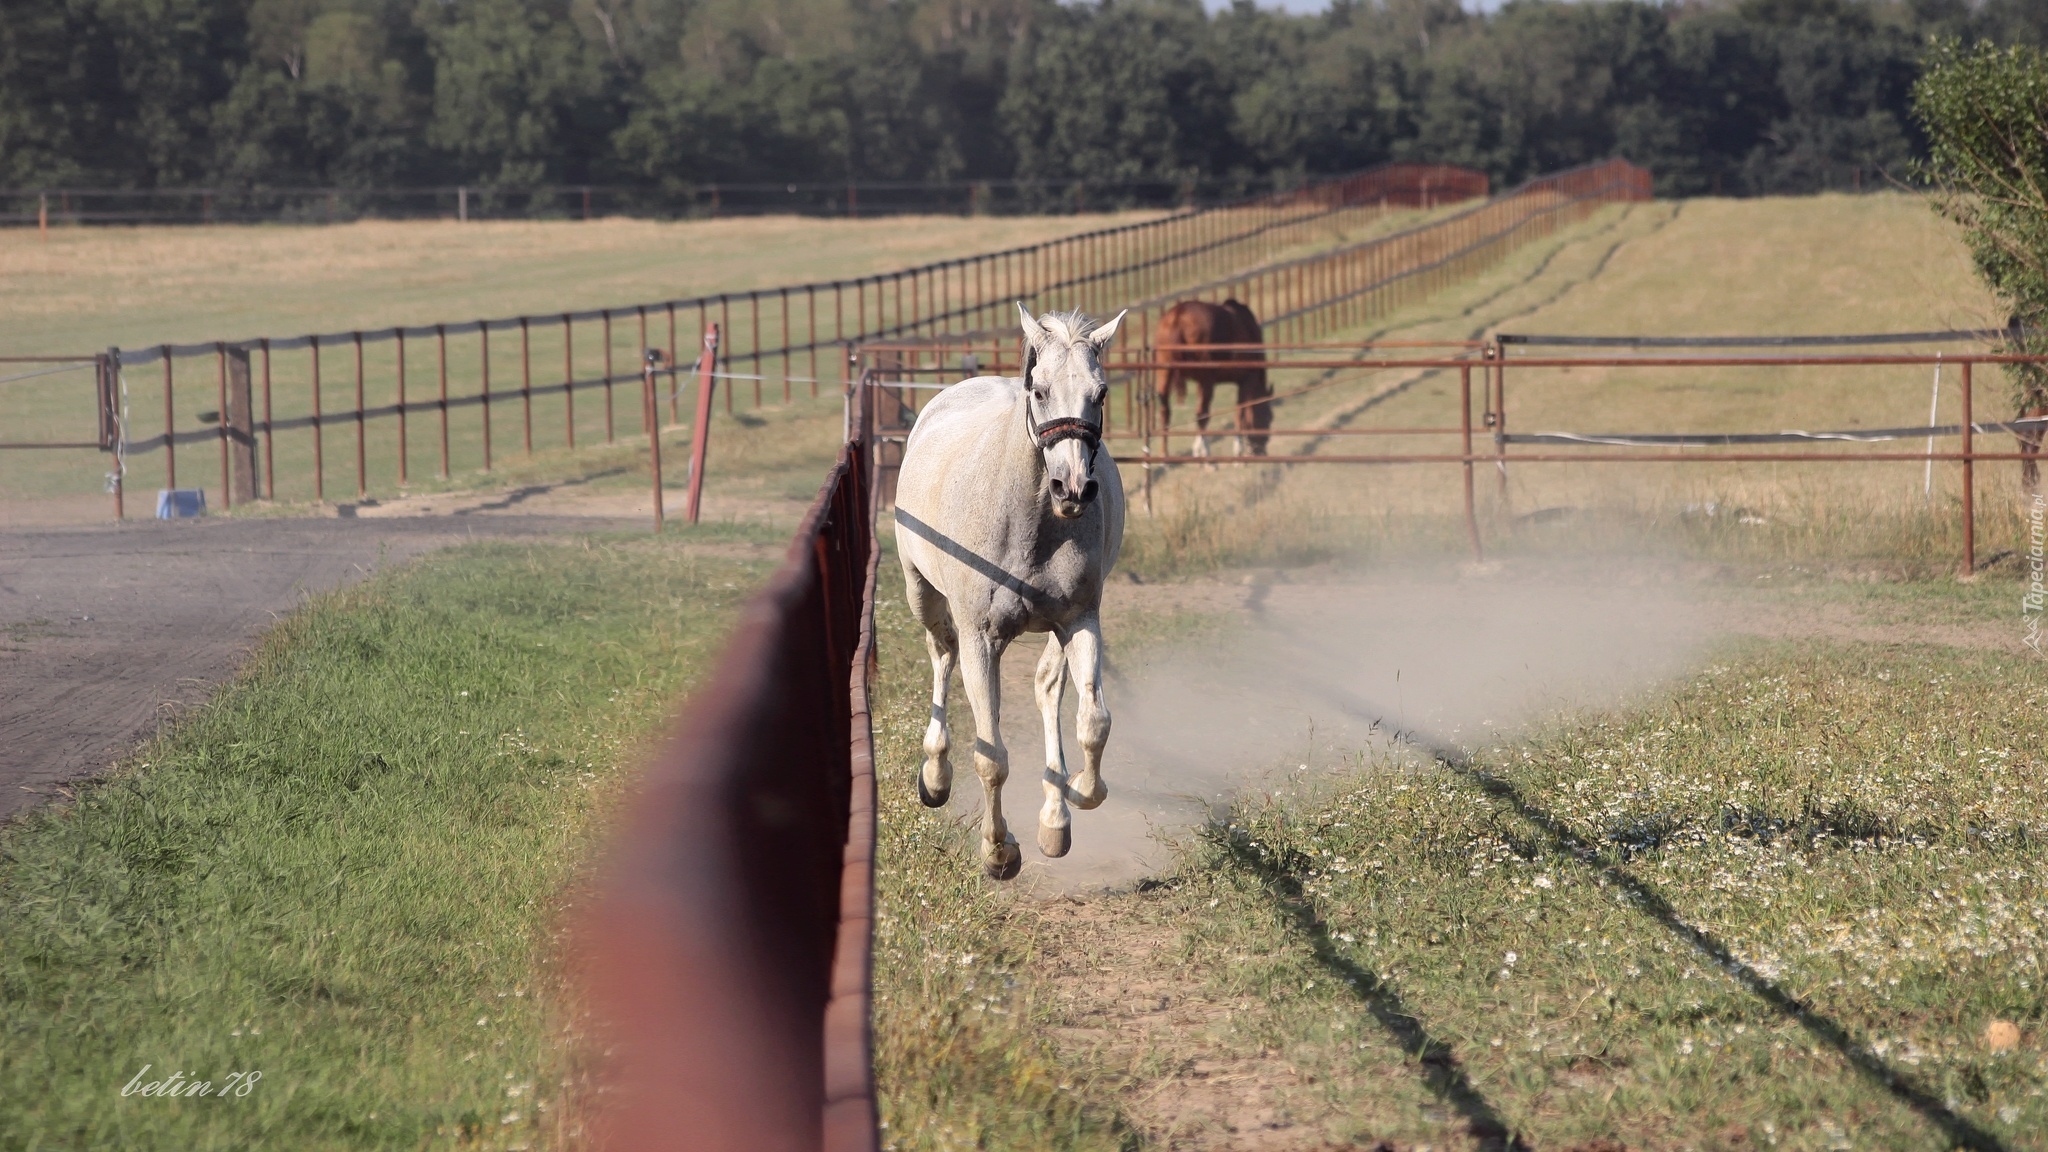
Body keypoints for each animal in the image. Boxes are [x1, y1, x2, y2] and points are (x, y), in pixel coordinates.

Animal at [892, 301, 1130, 873]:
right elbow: (991, 757)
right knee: (942, 654)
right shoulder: (982, 639)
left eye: (1100, 393)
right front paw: (998, 851)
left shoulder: (1079, 620)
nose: (1073, 488)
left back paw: (1055, 819)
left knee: (1048, 687)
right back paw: (935, 776)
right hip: (921, 594)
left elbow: (1094, 720)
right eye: (1039, 390)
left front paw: (1077, 794)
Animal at [1155, 297, 1261, 455]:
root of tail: (1178, 314)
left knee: (1165, 412)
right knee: (1202, 413)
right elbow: (1240, 411)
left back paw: (1164, 454)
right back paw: (1205, 455)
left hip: (1164, 372)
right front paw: (1239, 449)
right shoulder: (1248, 379)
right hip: (1205, 379)